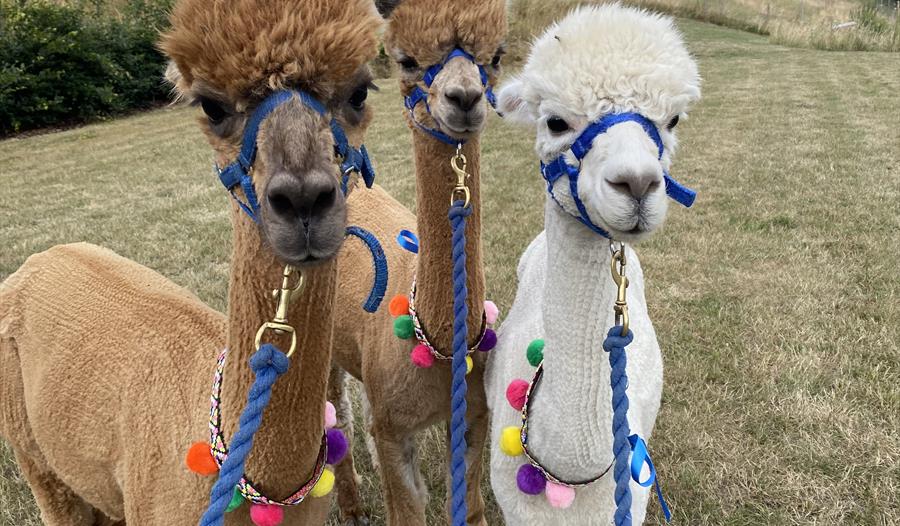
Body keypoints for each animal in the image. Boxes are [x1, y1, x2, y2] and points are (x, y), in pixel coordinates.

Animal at [327, 0, 508, 524]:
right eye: (406, 60)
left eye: (496, 55)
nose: (465, 97)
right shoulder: (395, 431)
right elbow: (406, 510)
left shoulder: (472, 414)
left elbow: (468, 506)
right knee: (335, 409)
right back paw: (351, 505)